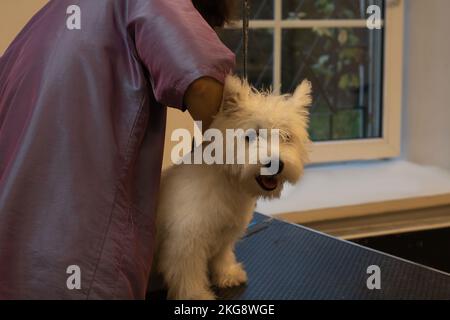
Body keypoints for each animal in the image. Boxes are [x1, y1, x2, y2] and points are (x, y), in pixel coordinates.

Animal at [153, 75, 312, 300]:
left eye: (286, 137)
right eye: (251, 136)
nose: (276, 163)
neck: (229, 184)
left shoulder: (225, 235)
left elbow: (222, 256)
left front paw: (227, 275)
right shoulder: (185, 243)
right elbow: (188, 274)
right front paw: (195, 295)